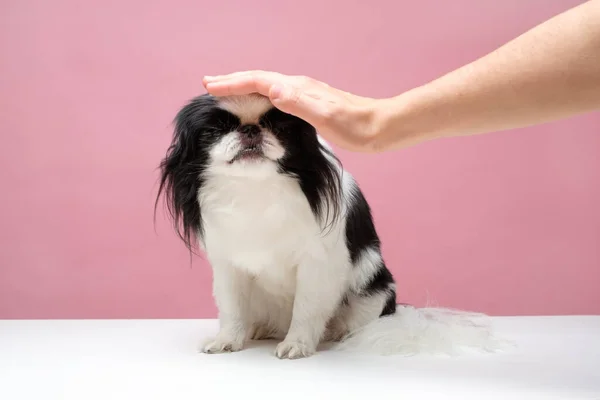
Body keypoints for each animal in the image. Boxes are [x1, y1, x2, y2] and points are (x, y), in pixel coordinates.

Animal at [155, 93, 502, 360]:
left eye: (279, 127)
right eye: (215, 129)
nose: (251, 129)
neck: (256, 188)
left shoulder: (318, 265)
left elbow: (307, 308)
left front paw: (297, 344)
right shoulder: (230, 266)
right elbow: (232, 308)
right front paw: (228, 339)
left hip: (372, 290)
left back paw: (336, 332)